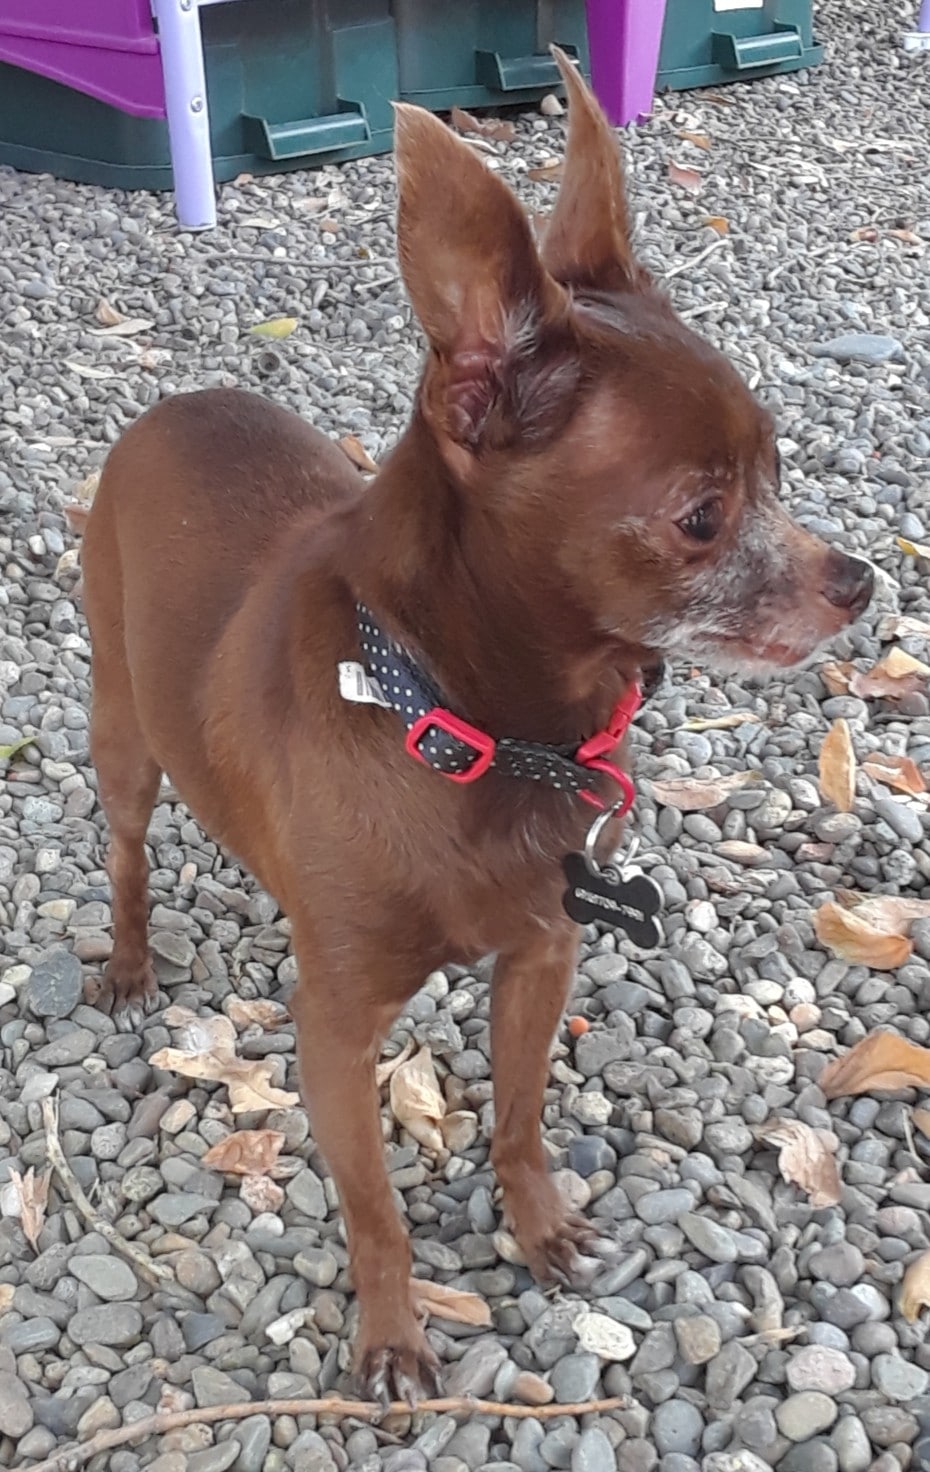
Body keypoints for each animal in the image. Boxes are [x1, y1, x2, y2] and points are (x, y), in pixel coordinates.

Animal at [79, 54, 871, 1401]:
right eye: (703, 516)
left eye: (780, 472)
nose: (862, 579)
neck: (476, 730)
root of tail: (172, 404)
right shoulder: (336, 1036)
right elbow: (374, 1210)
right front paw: (394, 1335)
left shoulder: (541, 956)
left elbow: (517, 1116)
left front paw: (539, 1226)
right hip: (123, 737)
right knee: (129, 848)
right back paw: (132, 963)